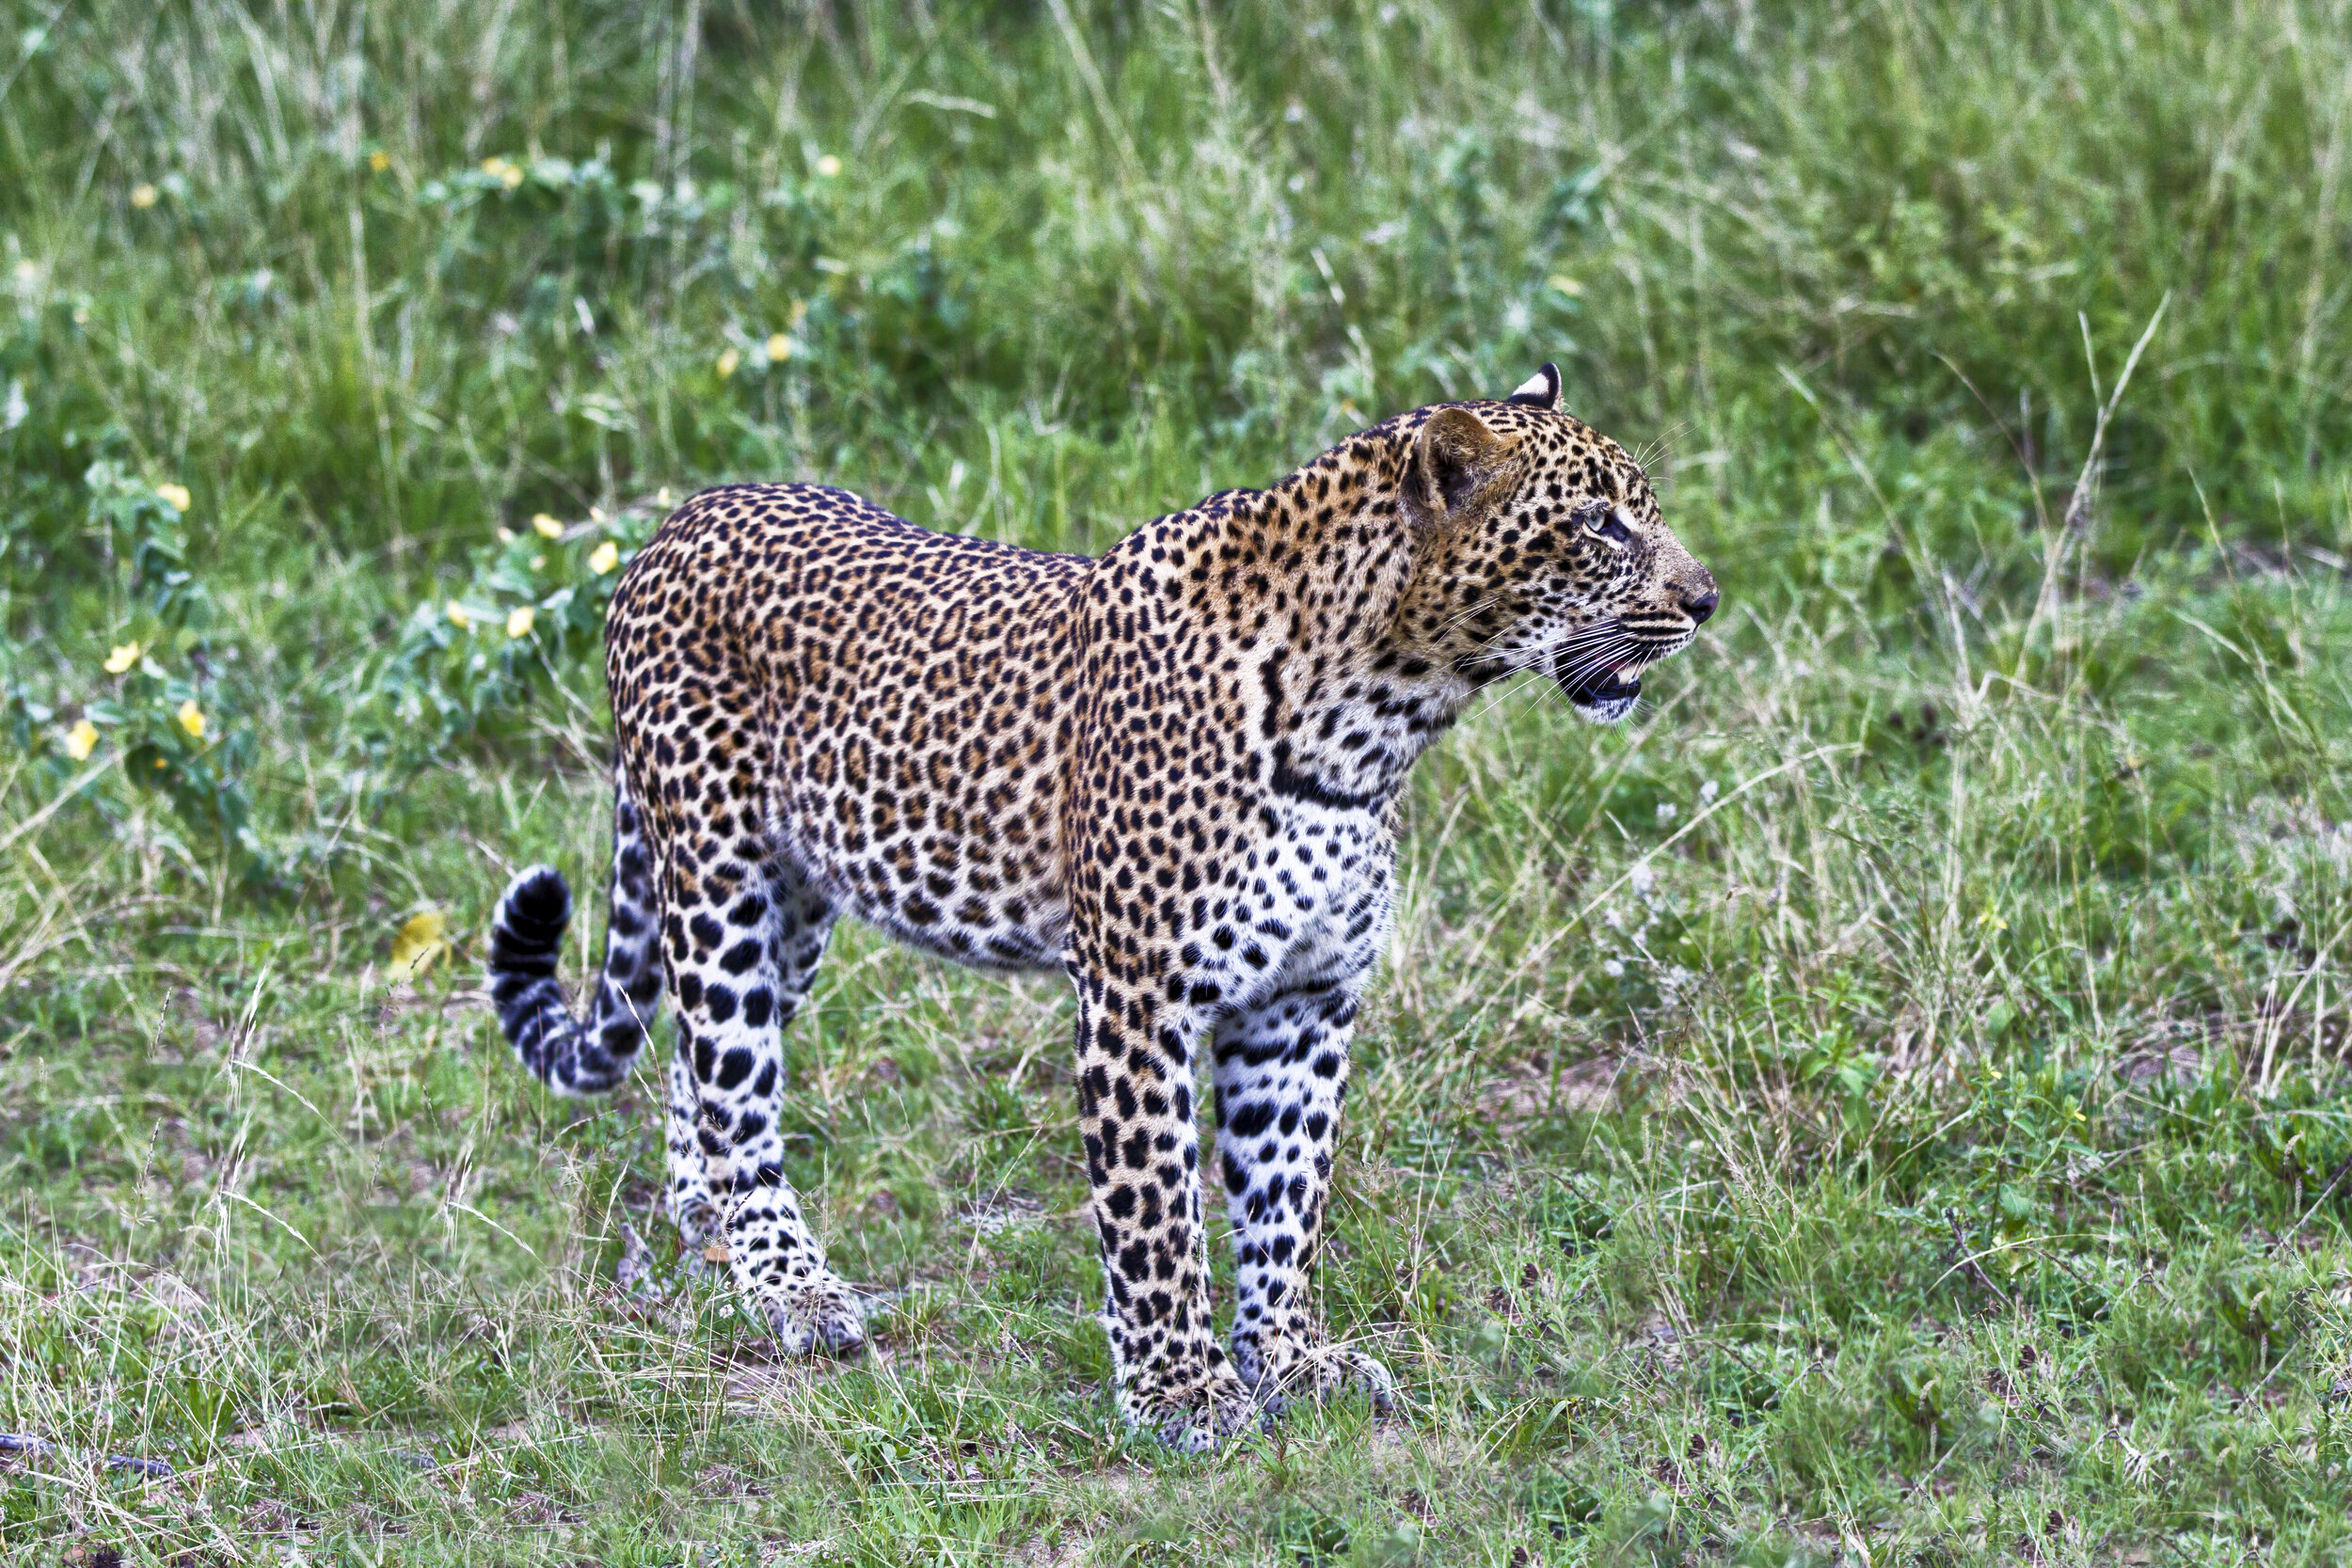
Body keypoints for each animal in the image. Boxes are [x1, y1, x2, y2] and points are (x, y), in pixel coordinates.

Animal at [483, 363, 1718, 1449]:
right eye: (1601, 524)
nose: (1705, 599)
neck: (1379, 720)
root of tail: (676, 520)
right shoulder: (1140, 996)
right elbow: (1157, 1212)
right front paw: (1182, 1393)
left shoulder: (1305, 1000)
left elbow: (1287, 1197)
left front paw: (1289, 1359)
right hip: (718, 878)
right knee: (735, 1082)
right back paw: (791, 1286)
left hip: (794, 900)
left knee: (697, 1059)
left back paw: (707, 1220)